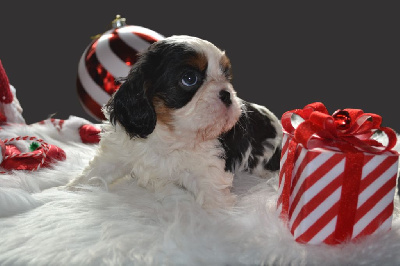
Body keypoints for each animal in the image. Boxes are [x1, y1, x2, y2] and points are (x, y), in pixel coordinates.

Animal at [67, 35, 282, 210]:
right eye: (189, 78)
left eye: (226, 77)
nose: (227, 94)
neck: (169, 133)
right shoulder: (120, 150)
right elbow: (97, 171)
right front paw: (68, 191)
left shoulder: (207, 170)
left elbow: (214, 200)